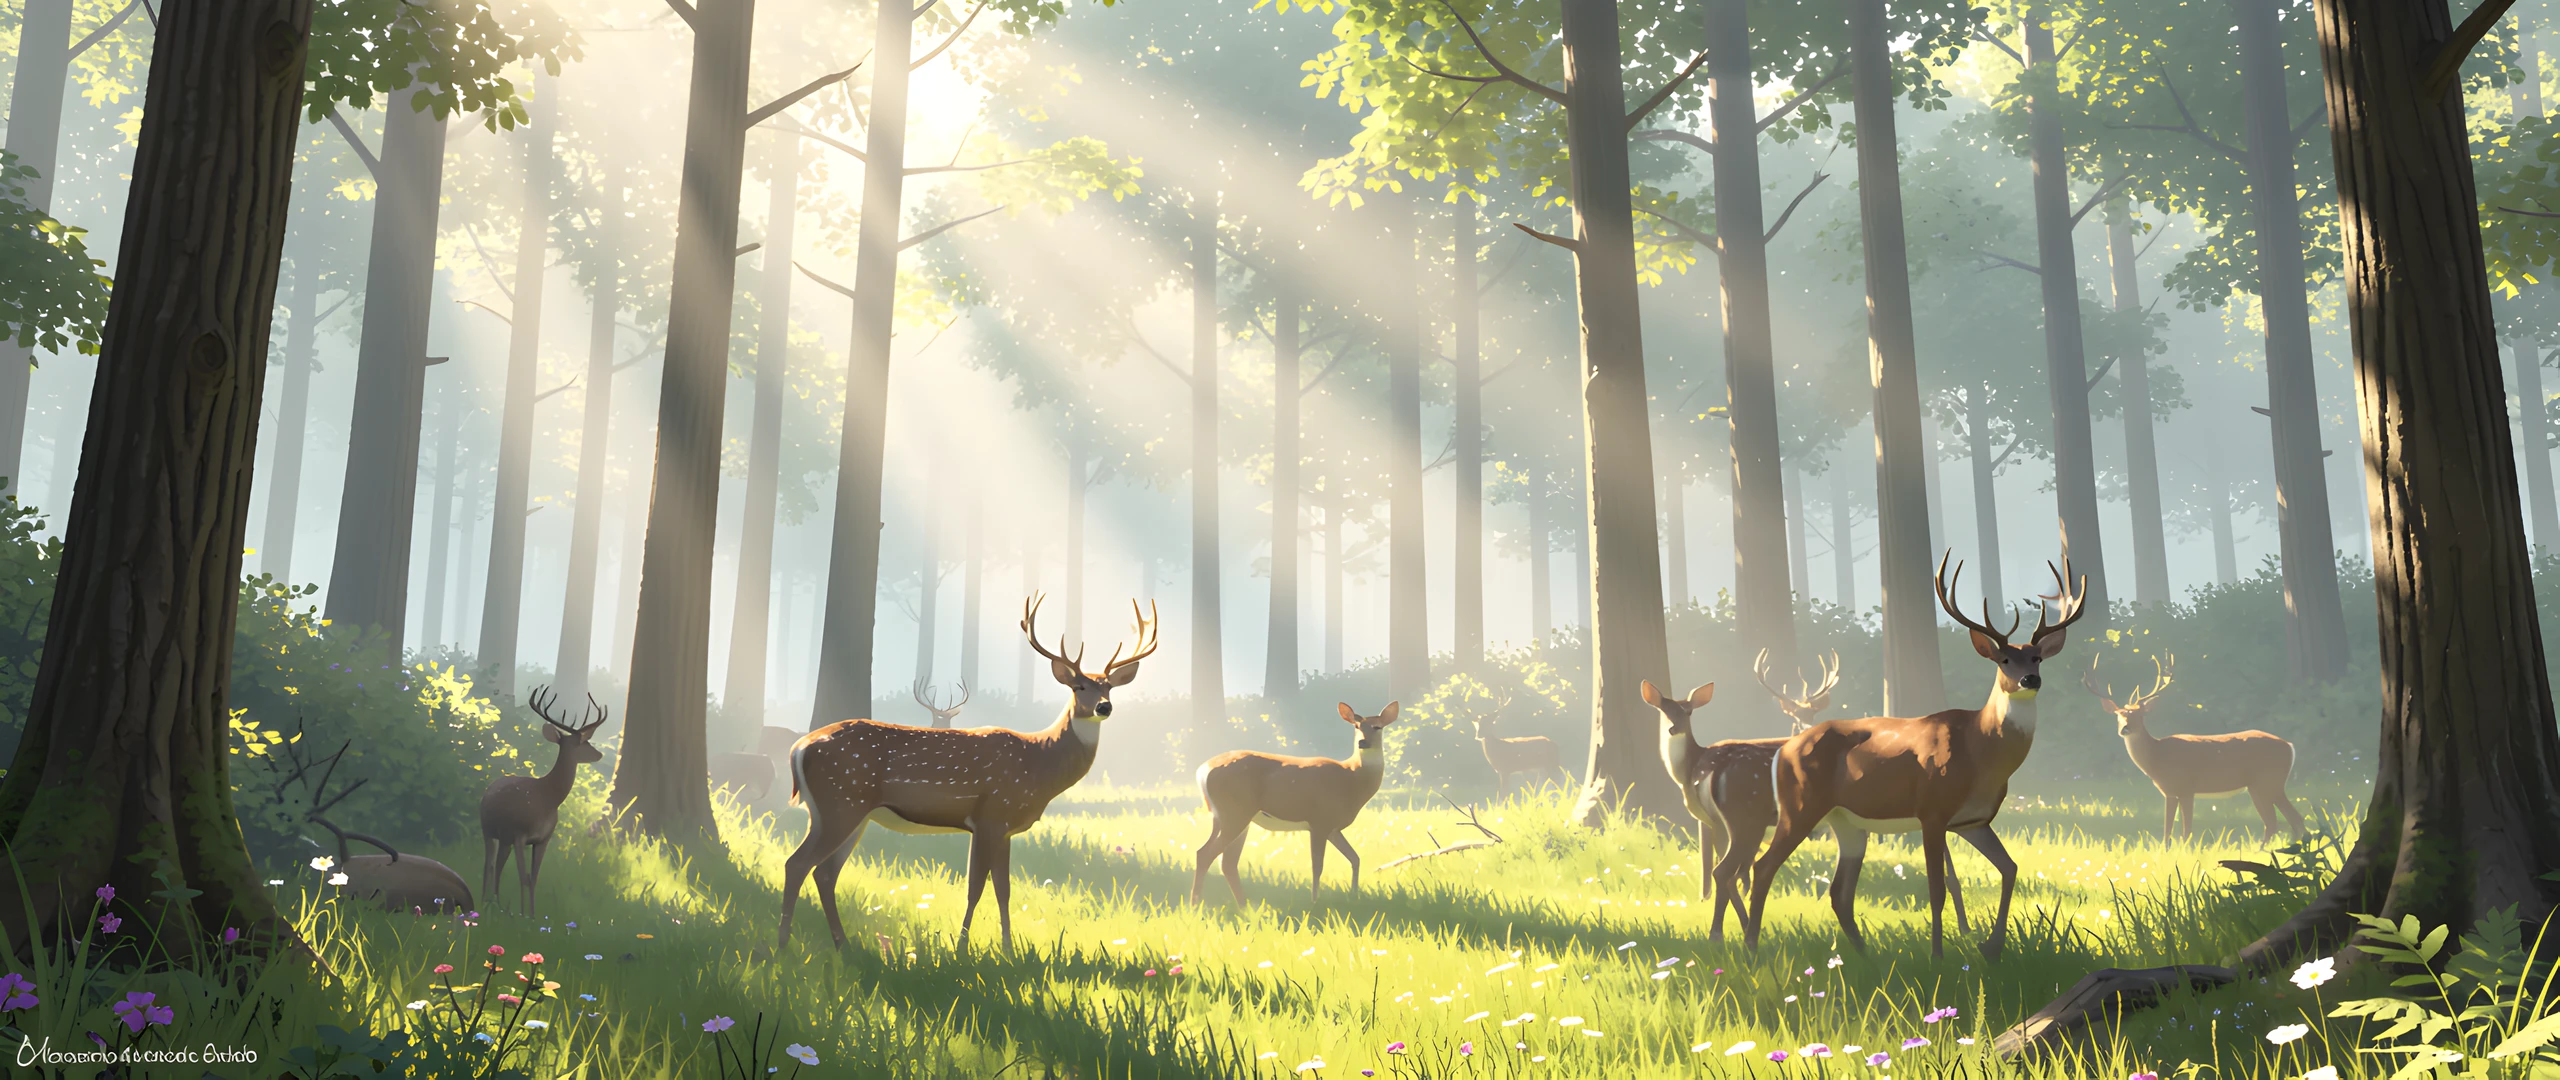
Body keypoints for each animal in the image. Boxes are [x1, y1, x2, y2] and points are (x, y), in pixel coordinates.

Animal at [480, 687, 609, 919]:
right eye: (584, 742)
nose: (599, 754)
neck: (548, 798)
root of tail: (489, 788)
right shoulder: (519, 833)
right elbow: (523, 876)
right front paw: (523, 915)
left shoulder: (543, 838)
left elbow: (533, 878)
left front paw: (531, 916)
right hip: (488, 830)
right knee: (489, 865)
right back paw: (485, 902)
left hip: (504, 838)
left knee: (498, 866)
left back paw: (497, 904)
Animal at [778, 595, 1158, 950]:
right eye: (1079, 687)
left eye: (1108, 686)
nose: (1104, 707)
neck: (1038, 763)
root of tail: (798, 749)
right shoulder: (991, 814)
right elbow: (976, 887)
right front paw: (962, 948)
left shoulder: (1003, 827)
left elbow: (1003, 889)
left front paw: (1006, 947)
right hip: (839, 803)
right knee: (797, 864)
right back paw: (783, 946)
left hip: (851, 813)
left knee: (825, 873)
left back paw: (843, 945)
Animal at [1190, 702, 1403, 905]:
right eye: (1357, 726)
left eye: (1377, 727)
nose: (1362, 742)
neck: (1352, 778)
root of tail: (1202, 770)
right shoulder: (1320, 821)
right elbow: (1317, 865)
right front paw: (1315, 901)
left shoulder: (1333, 828)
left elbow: (1355, 858)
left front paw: (1354, 895)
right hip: (1235, 812)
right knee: (1207, 855)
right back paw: (1196, 905)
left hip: (1227, 817)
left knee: (1225, 861)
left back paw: (1243, 906)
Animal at [1744, 553, 2086, 961]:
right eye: (2004, 659)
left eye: (2037, 658)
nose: (2029, 680)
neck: (1981, 752)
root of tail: (1784, 749)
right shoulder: (1932, 810)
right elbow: (1938, 889)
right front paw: (1939, 957)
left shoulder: (1973, 821)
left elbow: (2010, 868)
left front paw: (1991, 947)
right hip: (1800, 806)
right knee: (1763, 867)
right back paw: (1752, 950)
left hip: (1847, 823)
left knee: (1839, 893)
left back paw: (1866, 956)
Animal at [2083, 653, 2307, 843]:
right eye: (2119, 715)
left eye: (2140, 715)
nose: (2125, 729)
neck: (2158, 757)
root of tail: (2290, 746)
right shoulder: (2169, 791)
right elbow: (2167, 830)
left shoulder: (2186, 787)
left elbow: (2186, 830)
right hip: (2261, 785)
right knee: (2284, 820)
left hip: (2269, 781)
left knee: (2283, 820)